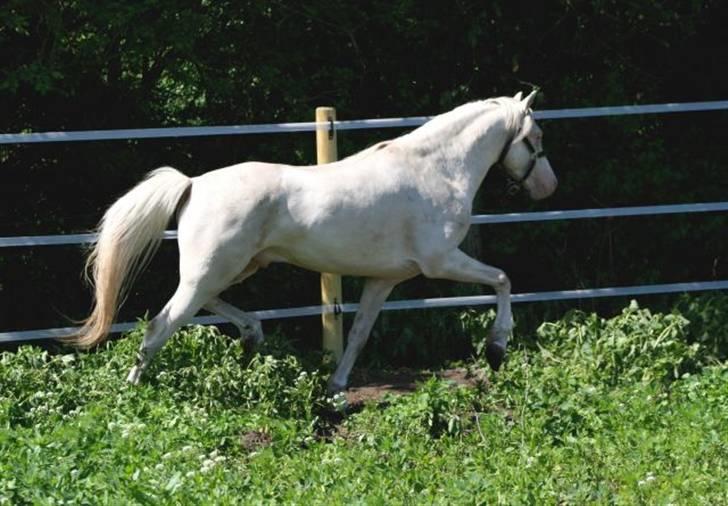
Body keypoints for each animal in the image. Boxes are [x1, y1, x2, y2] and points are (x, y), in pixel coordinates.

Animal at [70, 90, 557, 392]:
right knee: (160, 326)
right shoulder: (441, 261)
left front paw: (335, 390)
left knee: (203, 307)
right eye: (535, 137)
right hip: (210, 271)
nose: (548, 187)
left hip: (232, 268)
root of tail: (194, 185)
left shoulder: (385, 280)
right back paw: (132, 394)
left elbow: (358, 334)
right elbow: (503, 279)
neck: (433, 170)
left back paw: (252, 335)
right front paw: (497, 349)